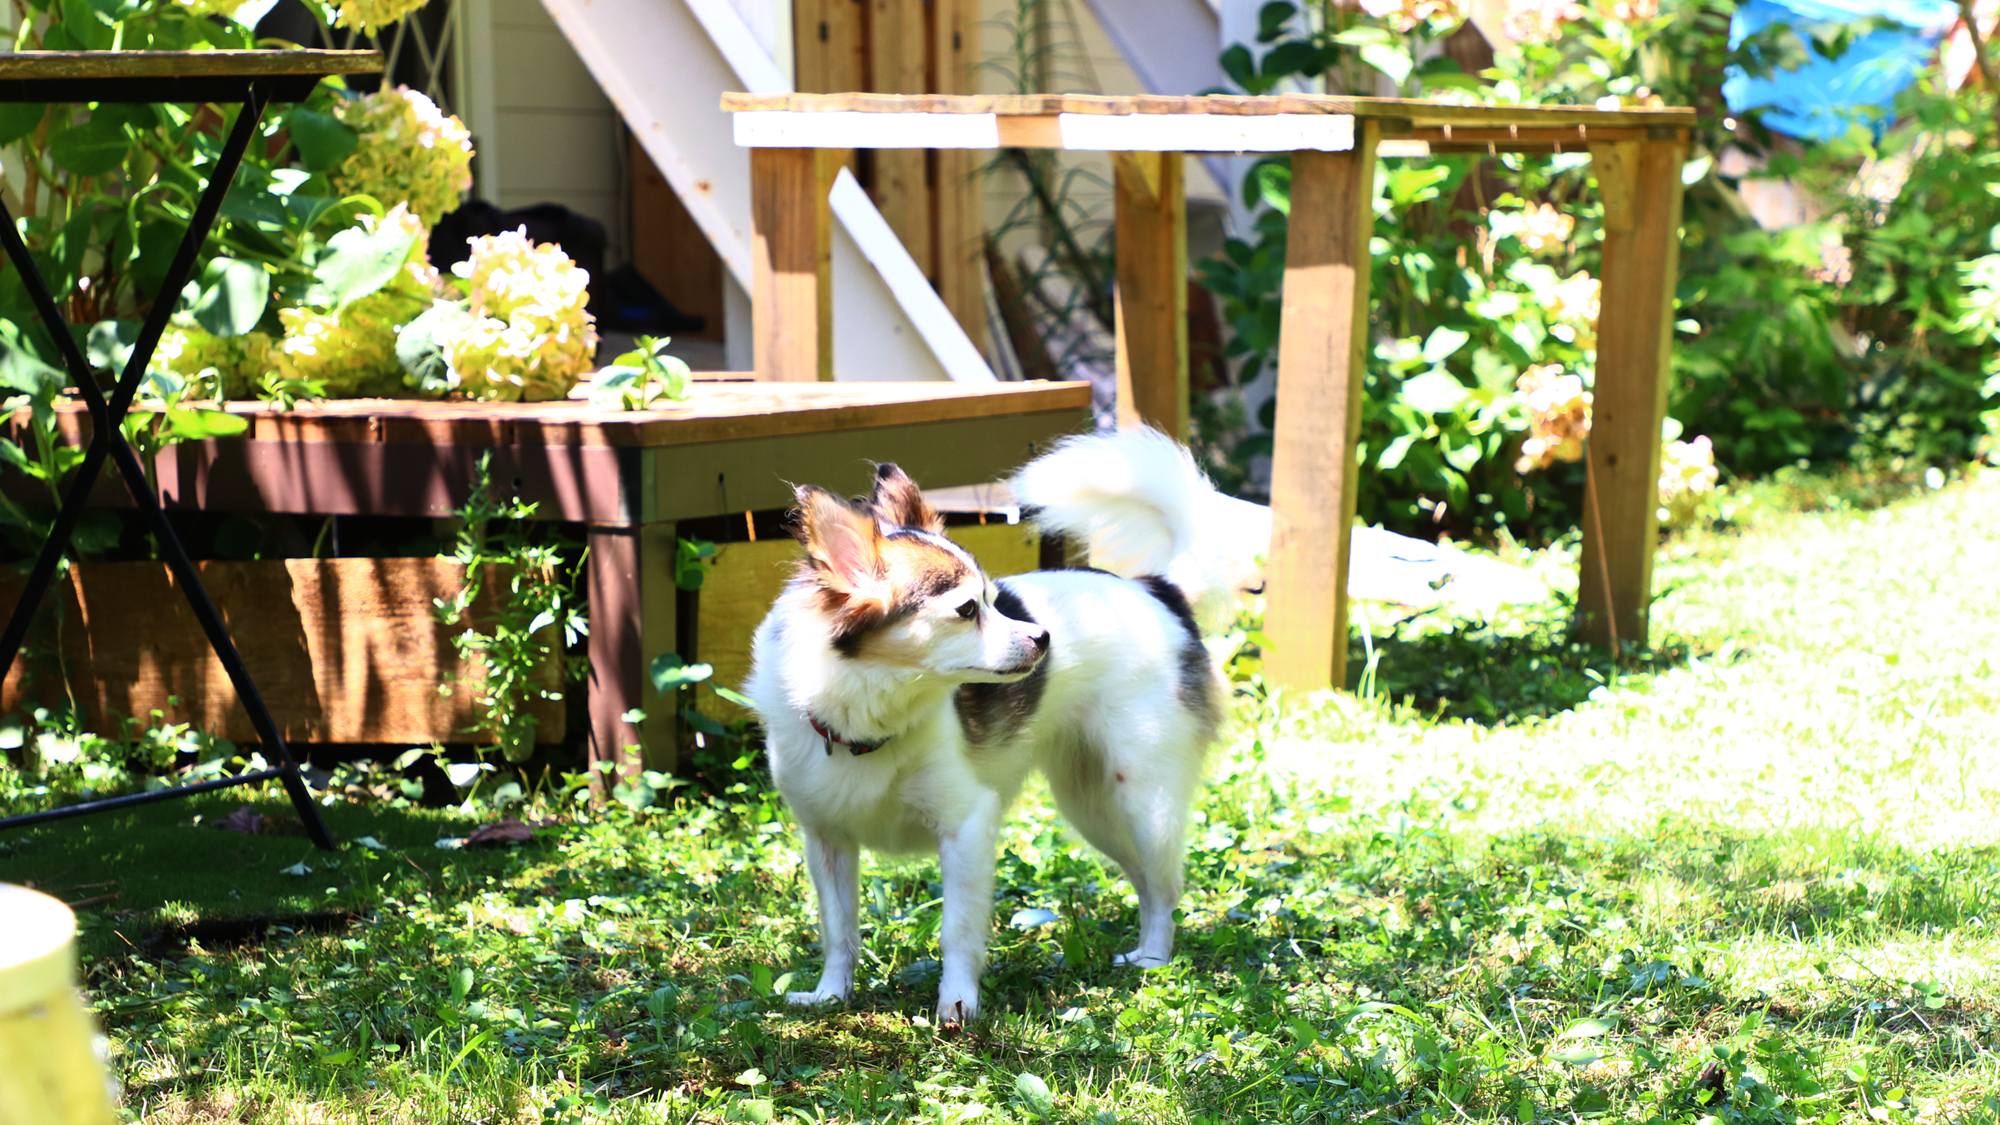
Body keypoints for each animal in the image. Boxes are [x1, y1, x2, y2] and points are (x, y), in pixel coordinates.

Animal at [744, 424, 1256, 1020]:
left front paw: (957, 1005)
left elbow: (957, 931)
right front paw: (831, 994)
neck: (871, 711)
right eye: (968, 610)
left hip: (1145, 800)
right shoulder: (827, 841)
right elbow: (839, 929)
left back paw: (1153, 959)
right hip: (1094, 807)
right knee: (1148, 882)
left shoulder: (966, 827)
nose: (1043, 637)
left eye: (995, 600)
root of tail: (1157, 588)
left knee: (1165, 885)